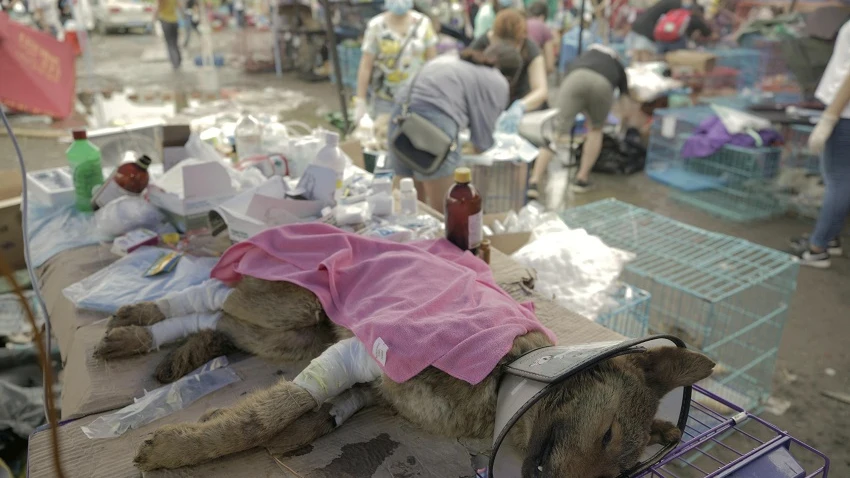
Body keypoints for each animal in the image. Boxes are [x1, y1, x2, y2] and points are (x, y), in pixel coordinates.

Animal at [94, 222, 716, 476]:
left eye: (622, 473)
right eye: (607, 434)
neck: (507, 373)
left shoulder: (369, 383)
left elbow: (315, 412)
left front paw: (292, 432)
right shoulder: (362, 352)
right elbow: (261, 416)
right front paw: (181, 447)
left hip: (290, 332)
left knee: (218, 316)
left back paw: (157, 341)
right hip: (301, 305)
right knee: (211, 294)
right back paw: (139, 319)